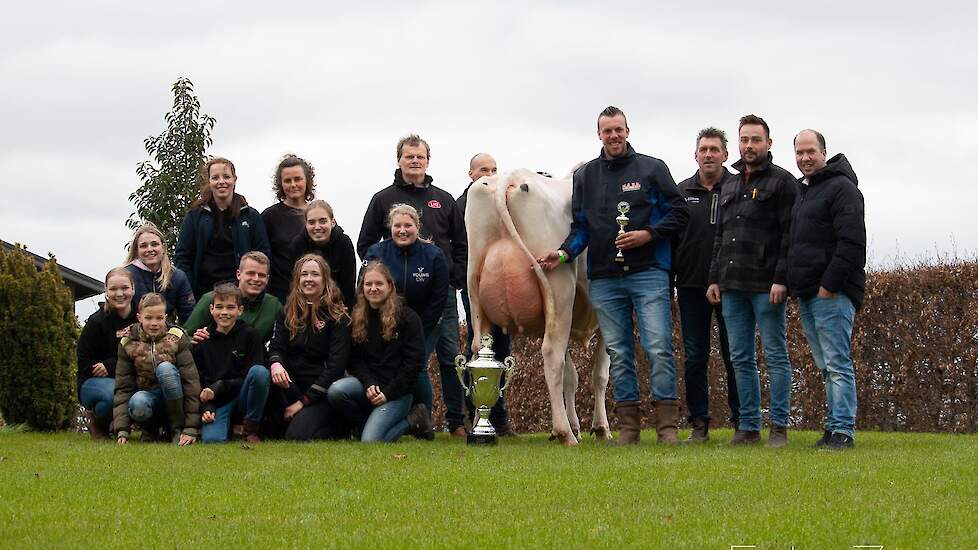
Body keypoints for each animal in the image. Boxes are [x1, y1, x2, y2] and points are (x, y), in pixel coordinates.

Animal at [466, 169, 608, 448]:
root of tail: (509, 176)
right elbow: (600, 374)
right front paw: (600, 428)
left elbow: (572, 378)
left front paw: (577, 427)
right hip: (560, 292)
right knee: (552, 355)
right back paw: (565, 433)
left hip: (475, 289)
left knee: (478, 350)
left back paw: (480, 428)